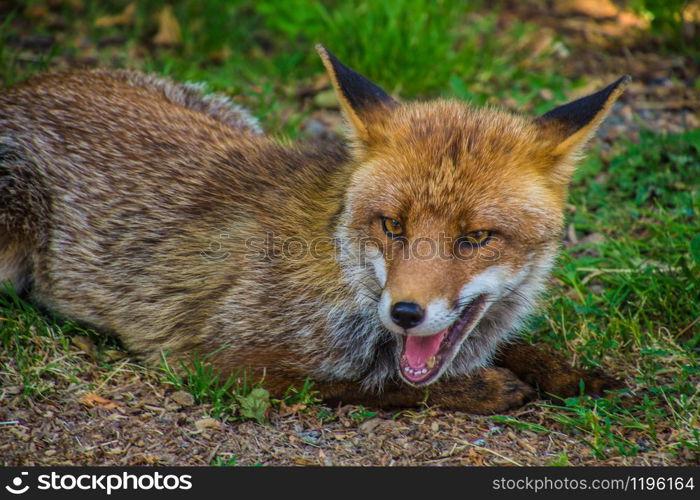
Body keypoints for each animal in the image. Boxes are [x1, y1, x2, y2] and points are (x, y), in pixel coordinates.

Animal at [0, 47, 624, 412]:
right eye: (392, 225)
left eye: (475, 238)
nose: (405, 312)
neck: (343, 277)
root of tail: (26, 87)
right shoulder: (216, 360)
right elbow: (373, 383)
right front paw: (485, 388)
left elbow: (520, 348)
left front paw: (573, 374)